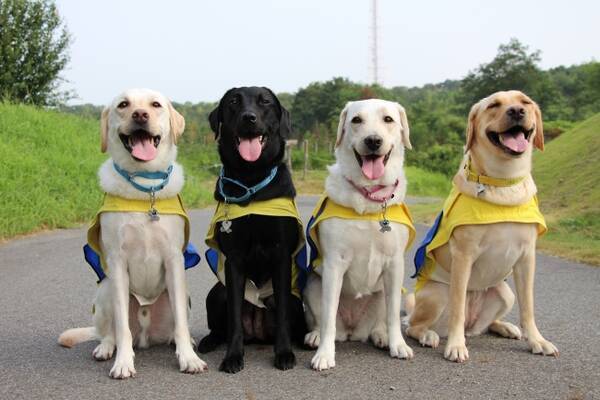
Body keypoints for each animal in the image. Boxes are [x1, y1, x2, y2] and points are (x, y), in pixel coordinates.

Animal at [58, 88, 207, 378]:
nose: (140, 115)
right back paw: (105, 348)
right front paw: (123, 363)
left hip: (181, 296)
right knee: (111, 332)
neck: (144, 187)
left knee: (175, 327)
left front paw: (188, 358)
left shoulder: (174, 260)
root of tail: (146, 336)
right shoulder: (117, 262)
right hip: (105, 291)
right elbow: (121, 329)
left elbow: (182, 326)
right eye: (123, 105)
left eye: (155, 105)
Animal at [199, 86, 308, 372]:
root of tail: (258, 333)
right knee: (221, 327)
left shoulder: (281, 255)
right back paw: (208, 341)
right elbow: (235, 319)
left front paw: (284, 353)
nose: (249, 118)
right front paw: (233, 357)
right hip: (217, 292)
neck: (251, 178)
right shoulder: (234, 260)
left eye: (265, 102)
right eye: (233, 102)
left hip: (296, 300)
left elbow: (282, 316)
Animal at [302, 98, 414, 370]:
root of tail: (353, 330)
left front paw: (398, 345)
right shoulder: (334, 264)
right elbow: (328, 317)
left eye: (388, 119)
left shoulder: (395, 264)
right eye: (356, 120)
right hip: (312, 283)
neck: (370, 198)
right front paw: (324, 354)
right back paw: (316, 336)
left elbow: (393, 315)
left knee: (382, 319)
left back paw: (381, 336)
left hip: (383, 293)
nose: (373, 140)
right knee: (321, 319)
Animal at [408, 90, 556, 362]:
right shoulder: (463, 255)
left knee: (484, 326)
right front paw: (456, 345)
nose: (517, 111)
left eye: (525, 101)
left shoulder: (527, 257)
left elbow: (528, 307)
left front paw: (537, 340)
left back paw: (504, 327)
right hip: (437, 294)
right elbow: (457, 309)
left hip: (504, 293)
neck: (503, 181)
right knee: (415, 324)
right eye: (494, 105)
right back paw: (429, 335)